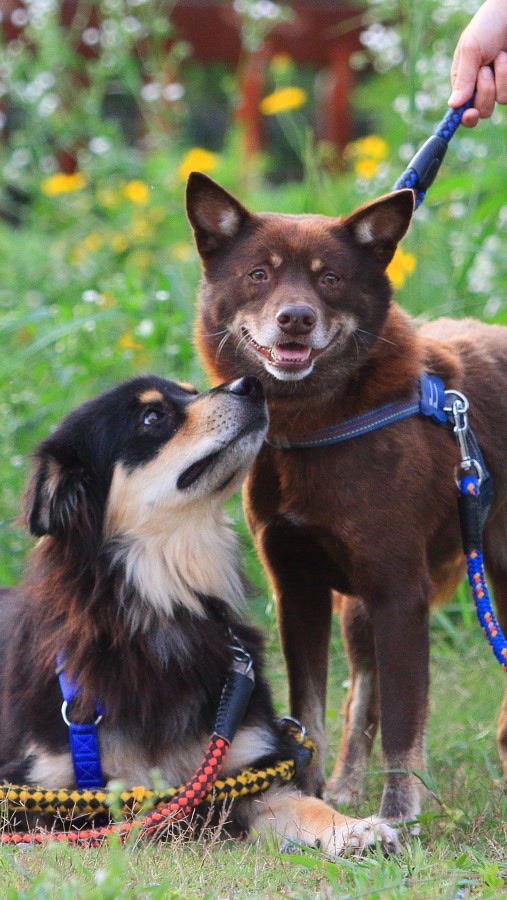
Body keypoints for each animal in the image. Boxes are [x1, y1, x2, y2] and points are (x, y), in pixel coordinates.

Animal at [0, 372, 398, 852]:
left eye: (189, 392)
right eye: (153, 416)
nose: (252, 384)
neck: (162, 608)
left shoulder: (250, 773)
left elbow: (309, 807)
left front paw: (356, 830)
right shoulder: (36, 793)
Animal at [189, 172, 507, 828]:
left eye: (330, 278)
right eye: (259, 273)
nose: (296, 318)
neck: (316, 424)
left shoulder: (400, 594)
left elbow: (405, 725)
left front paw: (400, 817)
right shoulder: (301, 590)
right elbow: (313, 710)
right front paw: (312, 796)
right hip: (357, 611)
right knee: (362, 697)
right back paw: (345, 785)